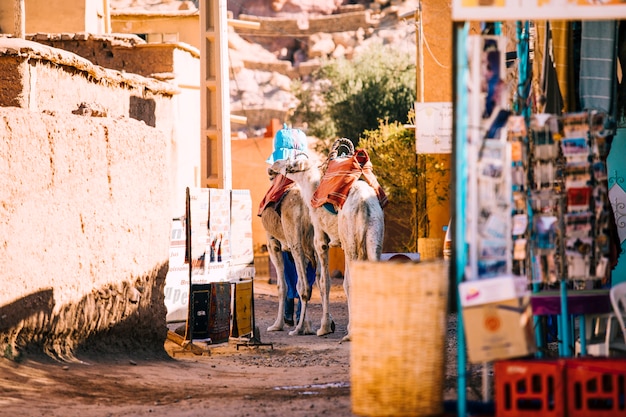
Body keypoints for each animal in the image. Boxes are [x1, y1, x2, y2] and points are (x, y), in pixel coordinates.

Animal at [258, 166, 316, 334]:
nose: (270, 171)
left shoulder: (273, 244)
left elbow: (282, 286)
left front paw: (277, 325)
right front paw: (308, 325)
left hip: (296, 242)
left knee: (304, 287)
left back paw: (297, 329)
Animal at [272, 138, 386, 340]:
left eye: (290, 163)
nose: (274, 166)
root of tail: (364, 204)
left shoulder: (320, 240)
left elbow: (324, 282)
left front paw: (323, 328)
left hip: (351, 239)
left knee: (352, 281)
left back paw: (350, 333)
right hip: (375, 232)